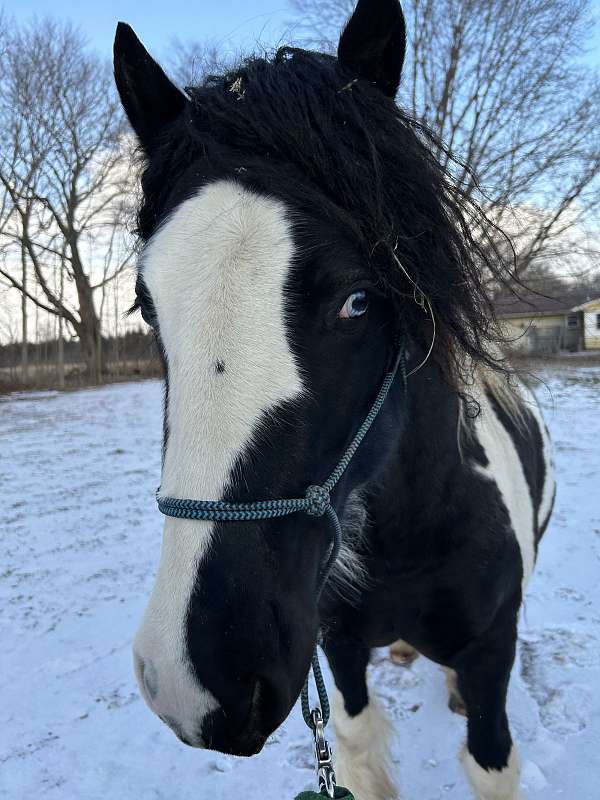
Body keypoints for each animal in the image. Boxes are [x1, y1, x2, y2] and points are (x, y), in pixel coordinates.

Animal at [115, 3, 556, 796]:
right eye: (145, 306)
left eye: (357, 300)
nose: (198, 681)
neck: (408, 536)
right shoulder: (340, 656)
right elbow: (358, 747)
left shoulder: (491, 655)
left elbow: (490, 755)